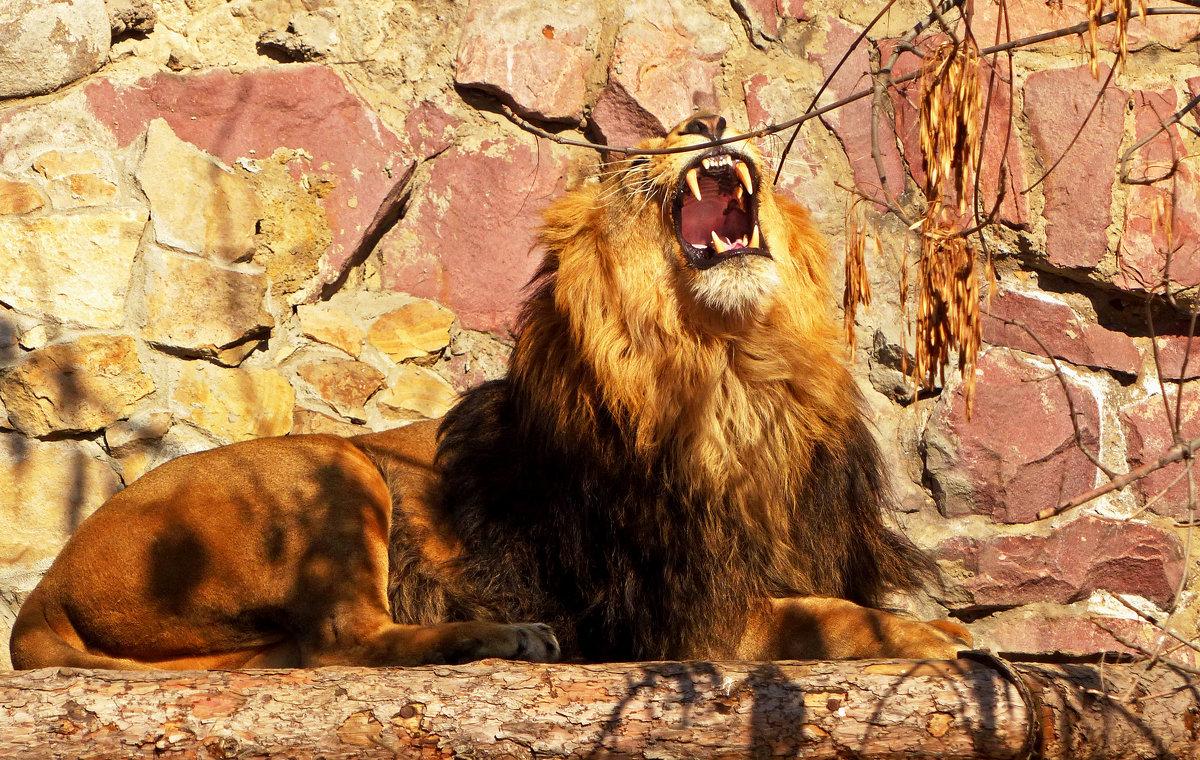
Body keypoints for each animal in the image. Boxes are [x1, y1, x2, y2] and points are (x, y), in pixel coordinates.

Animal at [7, 115, 964, 667]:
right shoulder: (681, 619)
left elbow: (838, 599)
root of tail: (46, 590)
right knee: (342, 644)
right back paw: (505, 637)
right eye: (631, 159)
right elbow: (831, 617)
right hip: (331, 464)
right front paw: (942, 637)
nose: (709, 119)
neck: (735, 371)